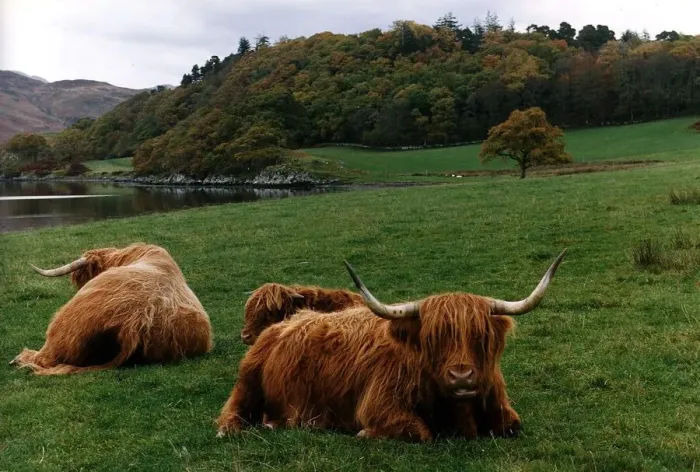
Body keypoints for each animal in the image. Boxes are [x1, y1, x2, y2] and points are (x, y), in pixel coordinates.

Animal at [216, 249, 567, 442]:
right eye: (432, 338)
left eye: (479, 335)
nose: (462, 377)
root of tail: (281, 326)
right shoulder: (379, 406)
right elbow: (419, 432)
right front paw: (366, 434)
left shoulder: (503, 410)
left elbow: (512, 425)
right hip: (247, 381)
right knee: (231, 412)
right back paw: (235, 429)